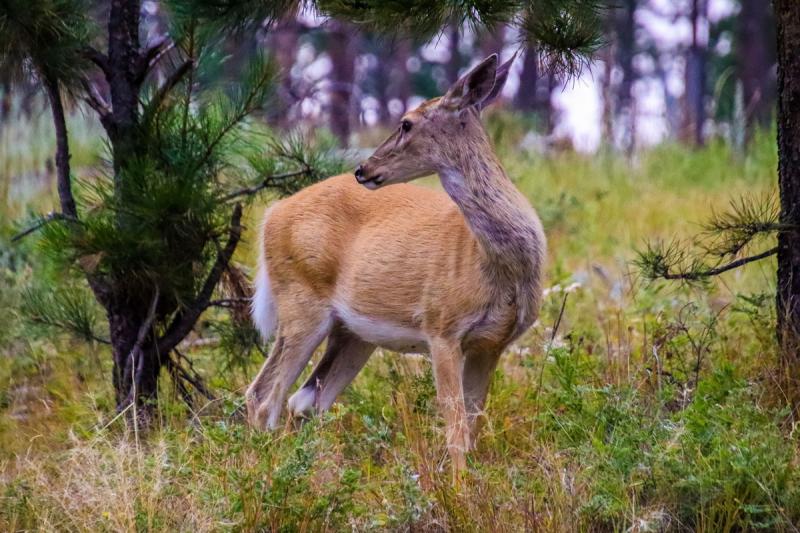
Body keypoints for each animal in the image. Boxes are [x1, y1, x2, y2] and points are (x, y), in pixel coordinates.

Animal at [245, 54, 544, 472]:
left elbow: (473, 422)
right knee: (263, 397)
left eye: (406, 123)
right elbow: (454, 427)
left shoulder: (492, 343)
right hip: (300, 300)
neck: (498, 266)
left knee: (305, 400)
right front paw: (459, 485)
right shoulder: (441, 326)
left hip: (353, 333)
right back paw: (267, 471)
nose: (363, 169)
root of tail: (271, 214)